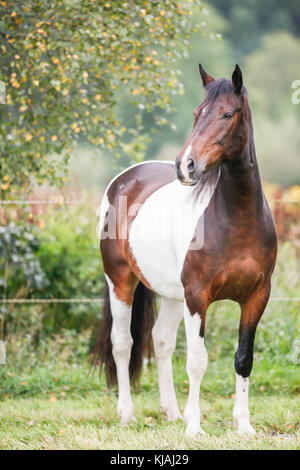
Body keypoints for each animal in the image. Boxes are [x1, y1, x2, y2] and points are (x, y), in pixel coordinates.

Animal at [95, 63, 278, 436]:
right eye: (197, 113)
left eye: (227, 114)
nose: (185, 165)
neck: (237, 221)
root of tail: (123, 180)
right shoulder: (198, 296)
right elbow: (197, 361)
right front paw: (195, 427)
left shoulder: (256, 297)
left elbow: (243, 359)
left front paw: (244, 426)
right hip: (119, 282)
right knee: (123, 344)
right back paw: (127, 414)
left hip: (171, 294)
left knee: (161, 340)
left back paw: (171, 412)